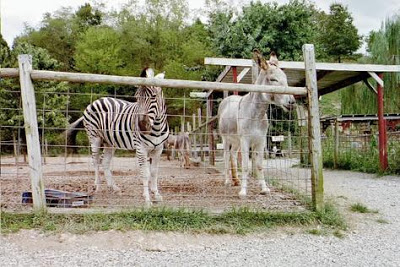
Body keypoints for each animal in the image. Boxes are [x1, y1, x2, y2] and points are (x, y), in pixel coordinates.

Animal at [67, 68, 169, 206]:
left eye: (153, 97)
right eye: (137, 97)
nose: (141, 126)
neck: (156, 127)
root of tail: (97, 100)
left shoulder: (158, 149)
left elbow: (154, 172)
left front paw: (156, 194)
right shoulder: (141, 148)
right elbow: (145, 173)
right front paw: (147, 199)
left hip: (109, 142)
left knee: (105, 162)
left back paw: (114, 188)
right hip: (94, 137)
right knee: (95, 161)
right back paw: (97, 187)